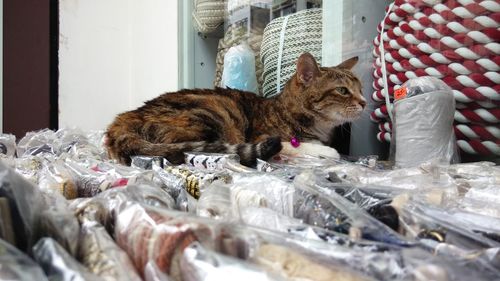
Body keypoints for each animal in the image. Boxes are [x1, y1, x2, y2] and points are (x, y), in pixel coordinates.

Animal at [105, 53, 366, 164]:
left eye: (360, 88)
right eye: (343, 90)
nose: (364, 102)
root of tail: (125, 117)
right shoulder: (265, 136)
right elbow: (296, 145)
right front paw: (327, 151)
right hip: (213, 113)